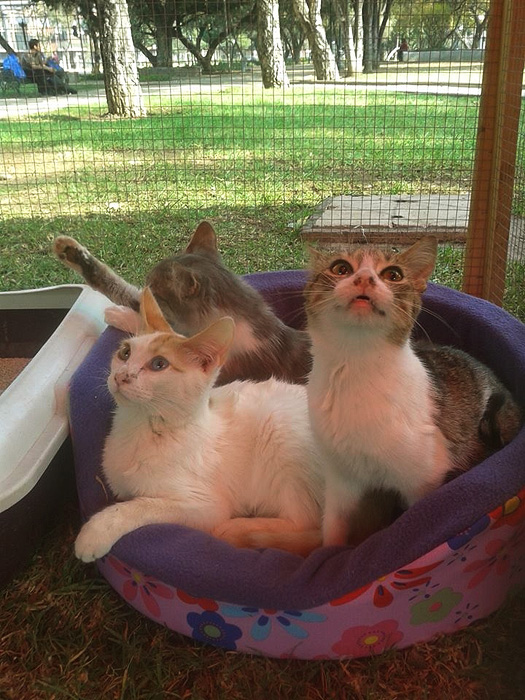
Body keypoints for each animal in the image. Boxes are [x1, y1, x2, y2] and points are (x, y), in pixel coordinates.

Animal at [73, 288, 320, 560]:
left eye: (159, 364)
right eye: (125, 353)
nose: (120, 376)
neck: (143, 427)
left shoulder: (205, 506)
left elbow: (142, 506)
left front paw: (96, 531)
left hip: (280, 429)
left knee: (307, 526)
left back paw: (238, 529)